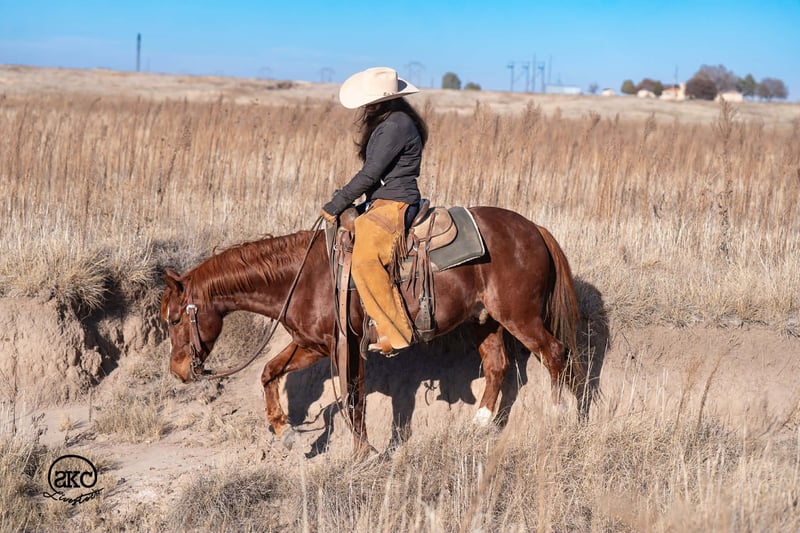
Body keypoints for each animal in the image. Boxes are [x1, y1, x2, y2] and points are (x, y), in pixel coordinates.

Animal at [160, 206, 589, 453]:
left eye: (175, 319)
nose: (178, 371)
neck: (304, 276)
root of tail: (533, 228)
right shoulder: (311, 345)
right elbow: (269, 372)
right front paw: (284, 431)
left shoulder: (345, 346)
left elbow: (354, 400)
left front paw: (362, 454)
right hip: (486, 321)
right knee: (497, 366)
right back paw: (479, 426)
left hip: (521, 317)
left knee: (555, 355)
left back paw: (559, 416)